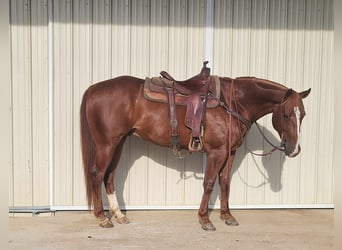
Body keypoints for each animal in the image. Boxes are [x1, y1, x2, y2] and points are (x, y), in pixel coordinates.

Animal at [79, 72, 310, 230]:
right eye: (287, 115)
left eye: (303, 114)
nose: (295, 150)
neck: (233, 102)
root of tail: (93, 89)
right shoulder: (216, 153)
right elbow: (209, 183)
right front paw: (205, 219)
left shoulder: (230, 152)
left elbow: (225, 184)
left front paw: (227, 216)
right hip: (107, 144)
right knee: (97, 174)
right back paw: (102, 217)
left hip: (118, 143)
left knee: (109, 177)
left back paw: (119, 215)